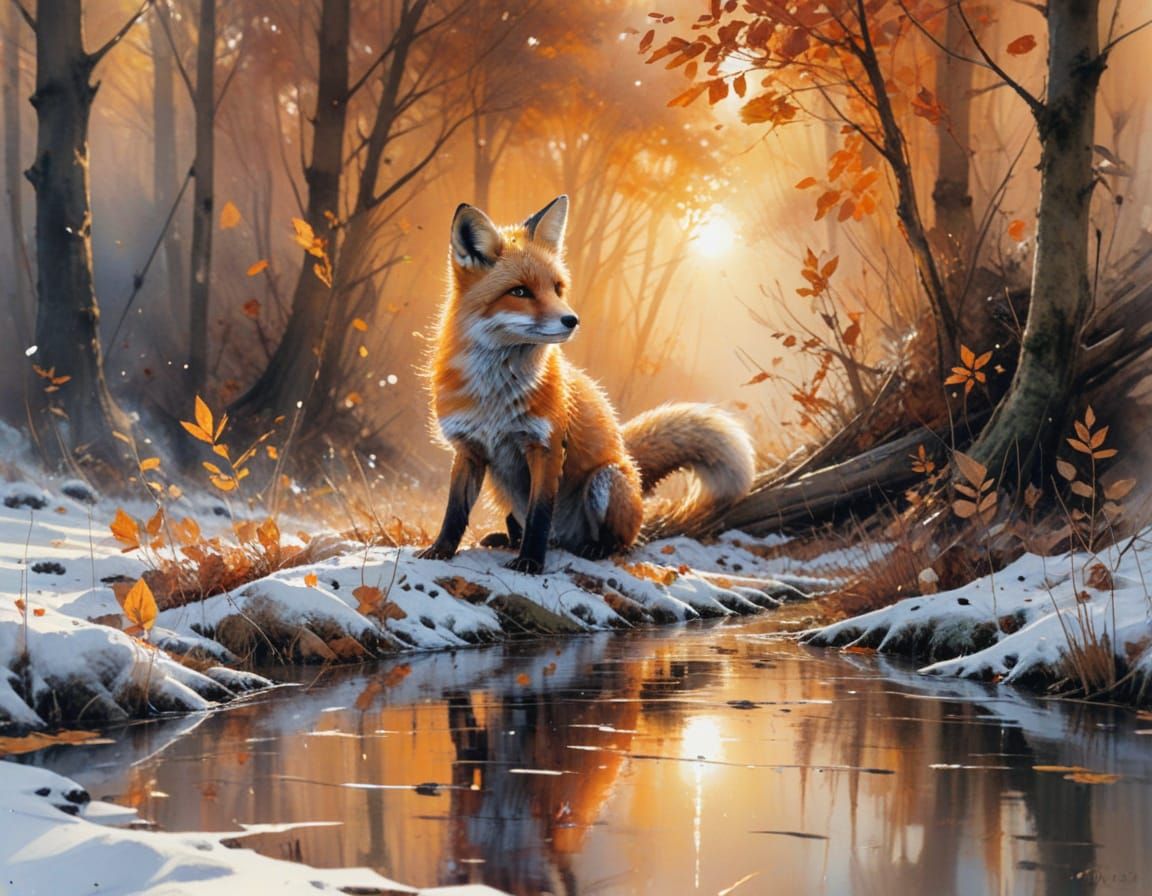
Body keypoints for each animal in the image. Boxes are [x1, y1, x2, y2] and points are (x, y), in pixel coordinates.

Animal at [418, 195, 755, 574]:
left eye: (557, 288)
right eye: (519, 291)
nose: (572, 320)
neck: (496, 395)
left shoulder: (547, 446)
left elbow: (539, 515)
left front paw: (531, 562)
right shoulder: (468, 448)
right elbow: (455, 512)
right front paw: (440, 550)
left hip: (604, 480)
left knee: (620, 543)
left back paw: (592, 548)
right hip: (501, 488)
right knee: (518, 522)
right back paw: (507, 539)